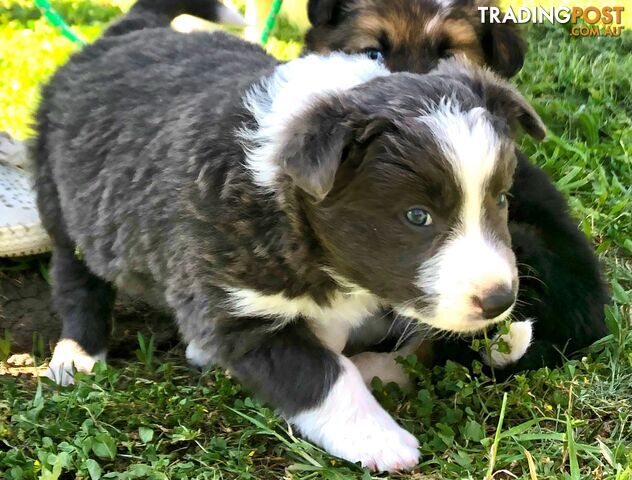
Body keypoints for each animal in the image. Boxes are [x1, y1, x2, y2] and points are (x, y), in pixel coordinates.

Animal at [35, 0, 548, 472]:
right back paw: (78, 355)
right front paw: (379, 439)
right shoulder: (237, 307)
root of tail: (128, 29)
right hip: (63, 203)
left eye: (501, 199)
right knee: (76, 278)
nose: (499, 300)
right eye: (417, 216)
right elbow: (324, 376)